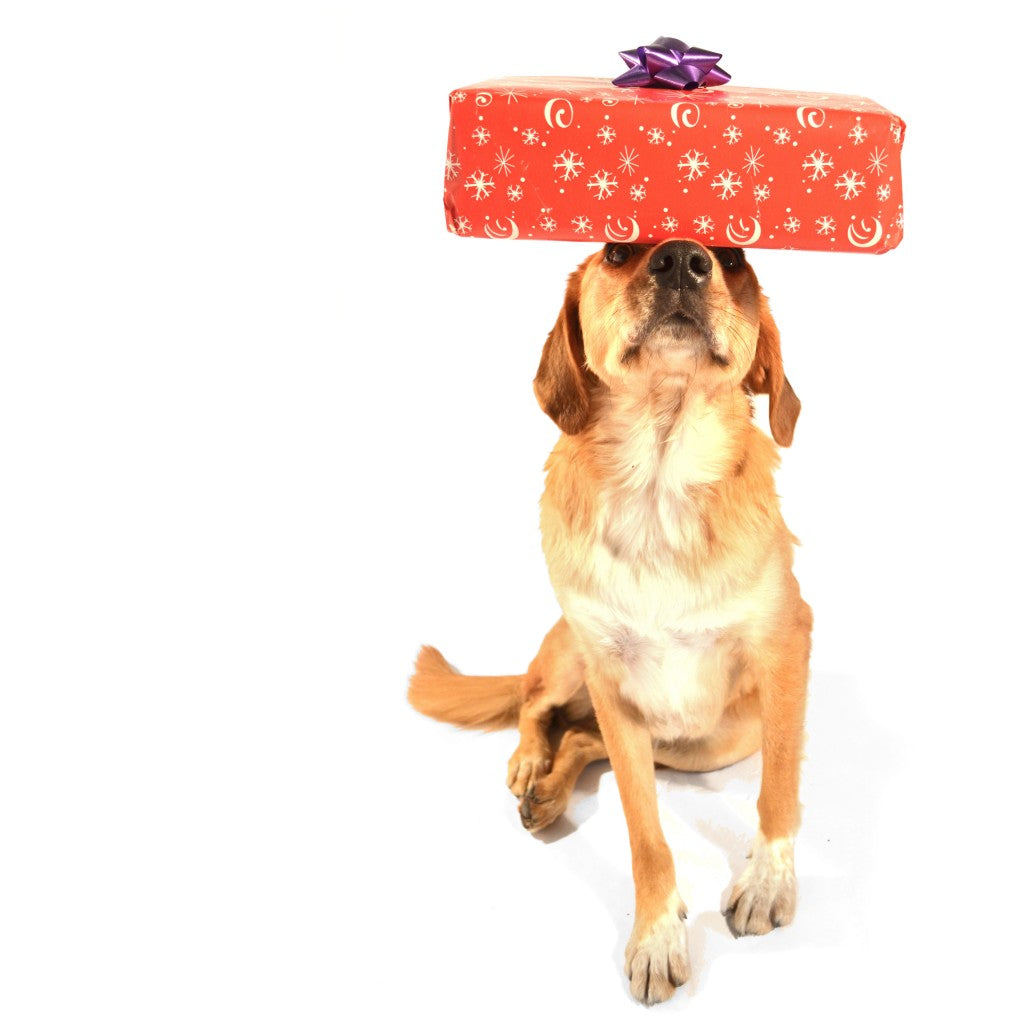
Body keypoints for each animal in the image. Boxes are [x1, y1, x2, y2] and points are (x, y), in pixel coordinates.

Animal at [405, 241, 806, 1007]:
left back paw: (549, 791)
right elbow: (644, 831)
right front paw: (656, 936)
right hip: (569, 657)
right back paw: (532, 765)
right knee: (541, 708)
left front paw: (768, 880)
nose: (682, 259)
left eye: (734, 257)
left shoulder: (785, 649)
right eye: (619, 250)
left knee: (583, 738)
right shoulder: (612, 683)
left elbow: (779, 782)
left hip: (711, 741)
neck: (659, 479)